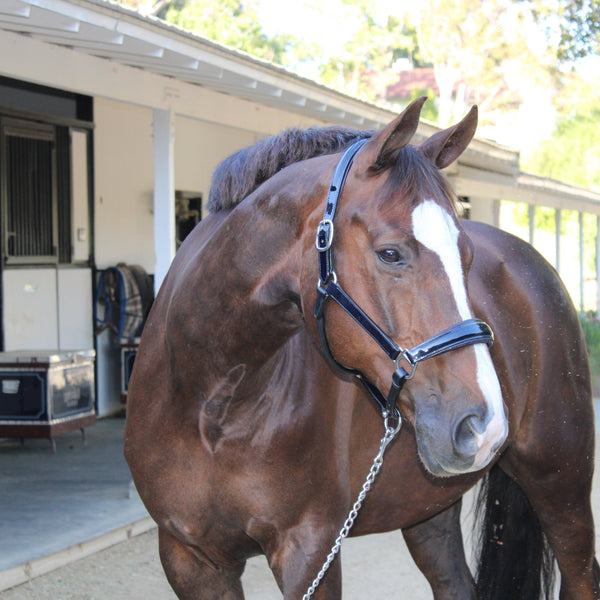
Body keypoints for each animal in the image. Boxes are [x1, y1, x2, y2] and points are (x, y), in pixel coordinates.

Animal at [124, 98, 596, 600]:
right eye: (390, 253)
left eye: (466, 257)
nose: (483, 426)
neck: (211, 399)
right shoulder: (190, 558)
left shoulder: (310, 553)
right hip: (427, 508)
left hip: (562, 487)